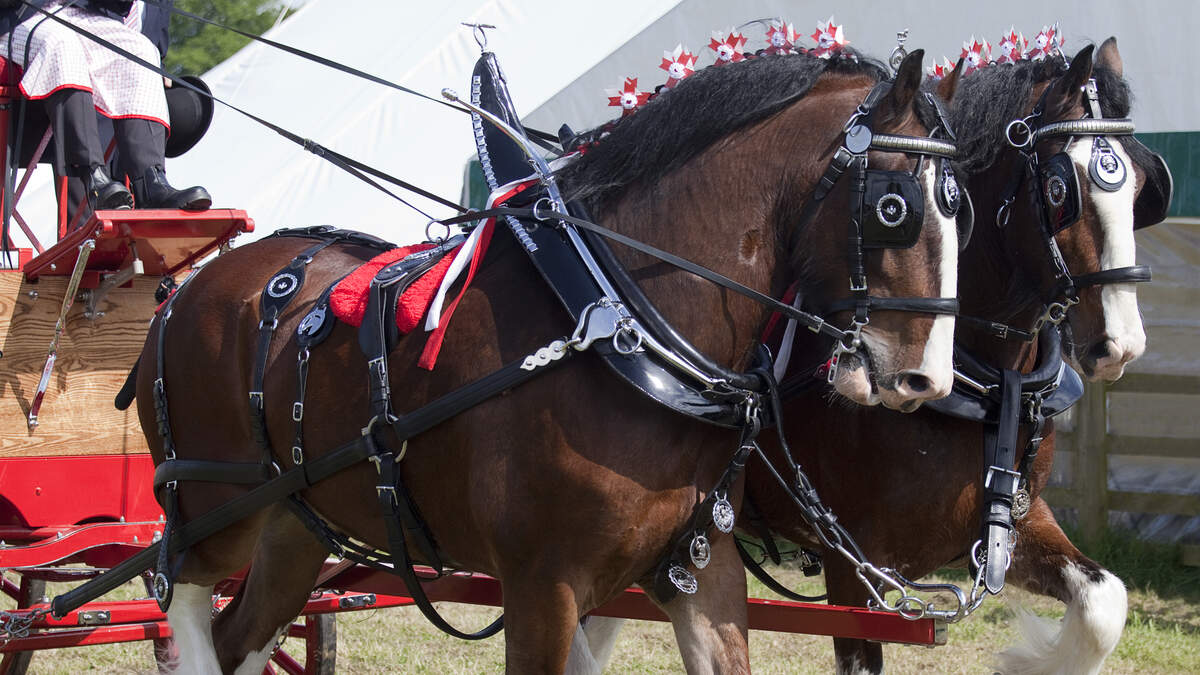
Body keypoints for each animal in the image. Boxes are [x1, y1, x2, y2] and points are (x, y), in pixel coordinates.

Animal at [138, 48, 964, 672]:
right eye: (893, 207)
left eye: (967, 209)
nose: (926, 378)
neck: (621, 325)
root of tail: (187, 289)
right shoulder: (542, 585)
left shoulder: (699, 566)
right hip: (210, 506)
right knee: (183, 599)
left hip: (293, 523)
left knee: (242, 634)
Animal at [571, 38, 1171, 672]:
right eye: (1060, 192)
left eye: (1141, 188)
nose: (1122, 343)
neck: (985, 379)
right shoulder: (851, 563)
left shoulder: (1016, 523)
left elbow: (1104, 604)